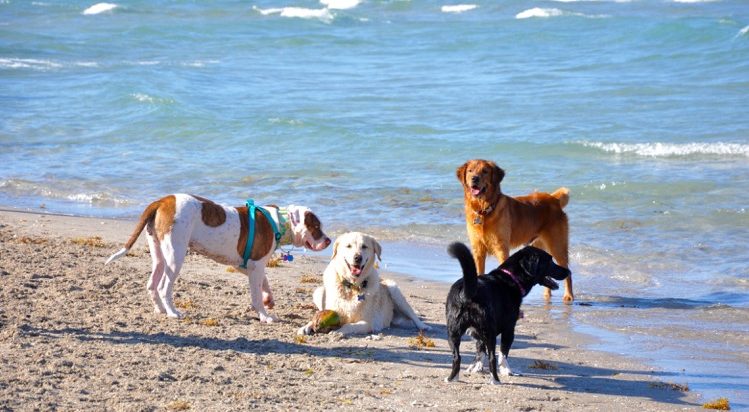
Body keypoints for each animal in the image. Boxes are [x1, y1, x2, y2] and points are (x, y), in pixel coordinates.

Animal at [105, 195, 330, 324]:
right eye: (316, 227)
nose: (328, 240)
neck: (280, 222)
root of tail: (162, 201)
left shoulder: (245, 265)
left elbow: (264, 282)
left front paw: (269, 299)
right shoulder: (256, 265)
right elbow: (256, 295)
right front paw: (265, 315)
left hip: (159, 253)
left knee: (152, 284)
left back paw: (159, 309)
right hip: (175, 255)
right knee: (163, 286)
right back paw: (172, 312)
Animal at [296, 232, 430, 334]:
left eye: (364, 246)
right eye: (348, 246)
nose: (357, 258)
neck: (352, 286)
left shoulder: (368, 323)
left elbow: (349, 325)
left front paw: (338, 331)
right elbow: (315, 318)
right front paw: (306, 326)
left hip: (394, 290)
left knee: (413, 316)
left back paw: (424, 326)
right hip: (318, 292)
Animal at [442, 243, 568, 384]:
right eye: (550, 261)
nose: (568, 272)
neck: (512, 277)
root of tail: (466, 292)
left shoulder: (477, 334)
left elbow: (480, 350)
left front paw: (477, 367)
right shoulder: (509, 329)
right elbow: (503, 353)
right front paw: (506, 371)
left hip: (453, 331)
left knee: (456, 357)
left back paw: (452, 378)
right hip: (489, 332)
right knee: (492, 357)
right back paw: (495, 380)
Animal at [456, 159, 572, 300]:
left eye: (485, 171)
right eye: (470, 171)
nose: (474, 178)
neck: (484, 211)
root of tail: (553, 199)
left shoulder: (501, 248)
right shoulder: (478, 250)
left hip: (557, 245)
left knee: (568, 273)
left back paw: (569, 296)